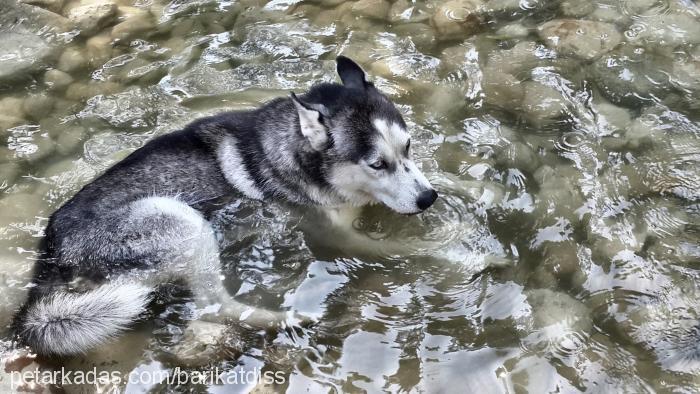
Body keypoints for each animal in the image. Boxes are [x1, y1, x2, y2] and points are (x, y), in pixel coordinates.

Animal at [12, 57, 438, 358]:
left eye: (408, 146)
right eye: (377, 164)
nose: (428, 199)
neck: (294, 154)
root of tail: (50, 254)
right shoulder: (336, 236)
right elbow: (399, 251)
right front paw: (443, 255)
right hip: (183, 222)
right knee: (213, 307)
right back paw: (287, 320)